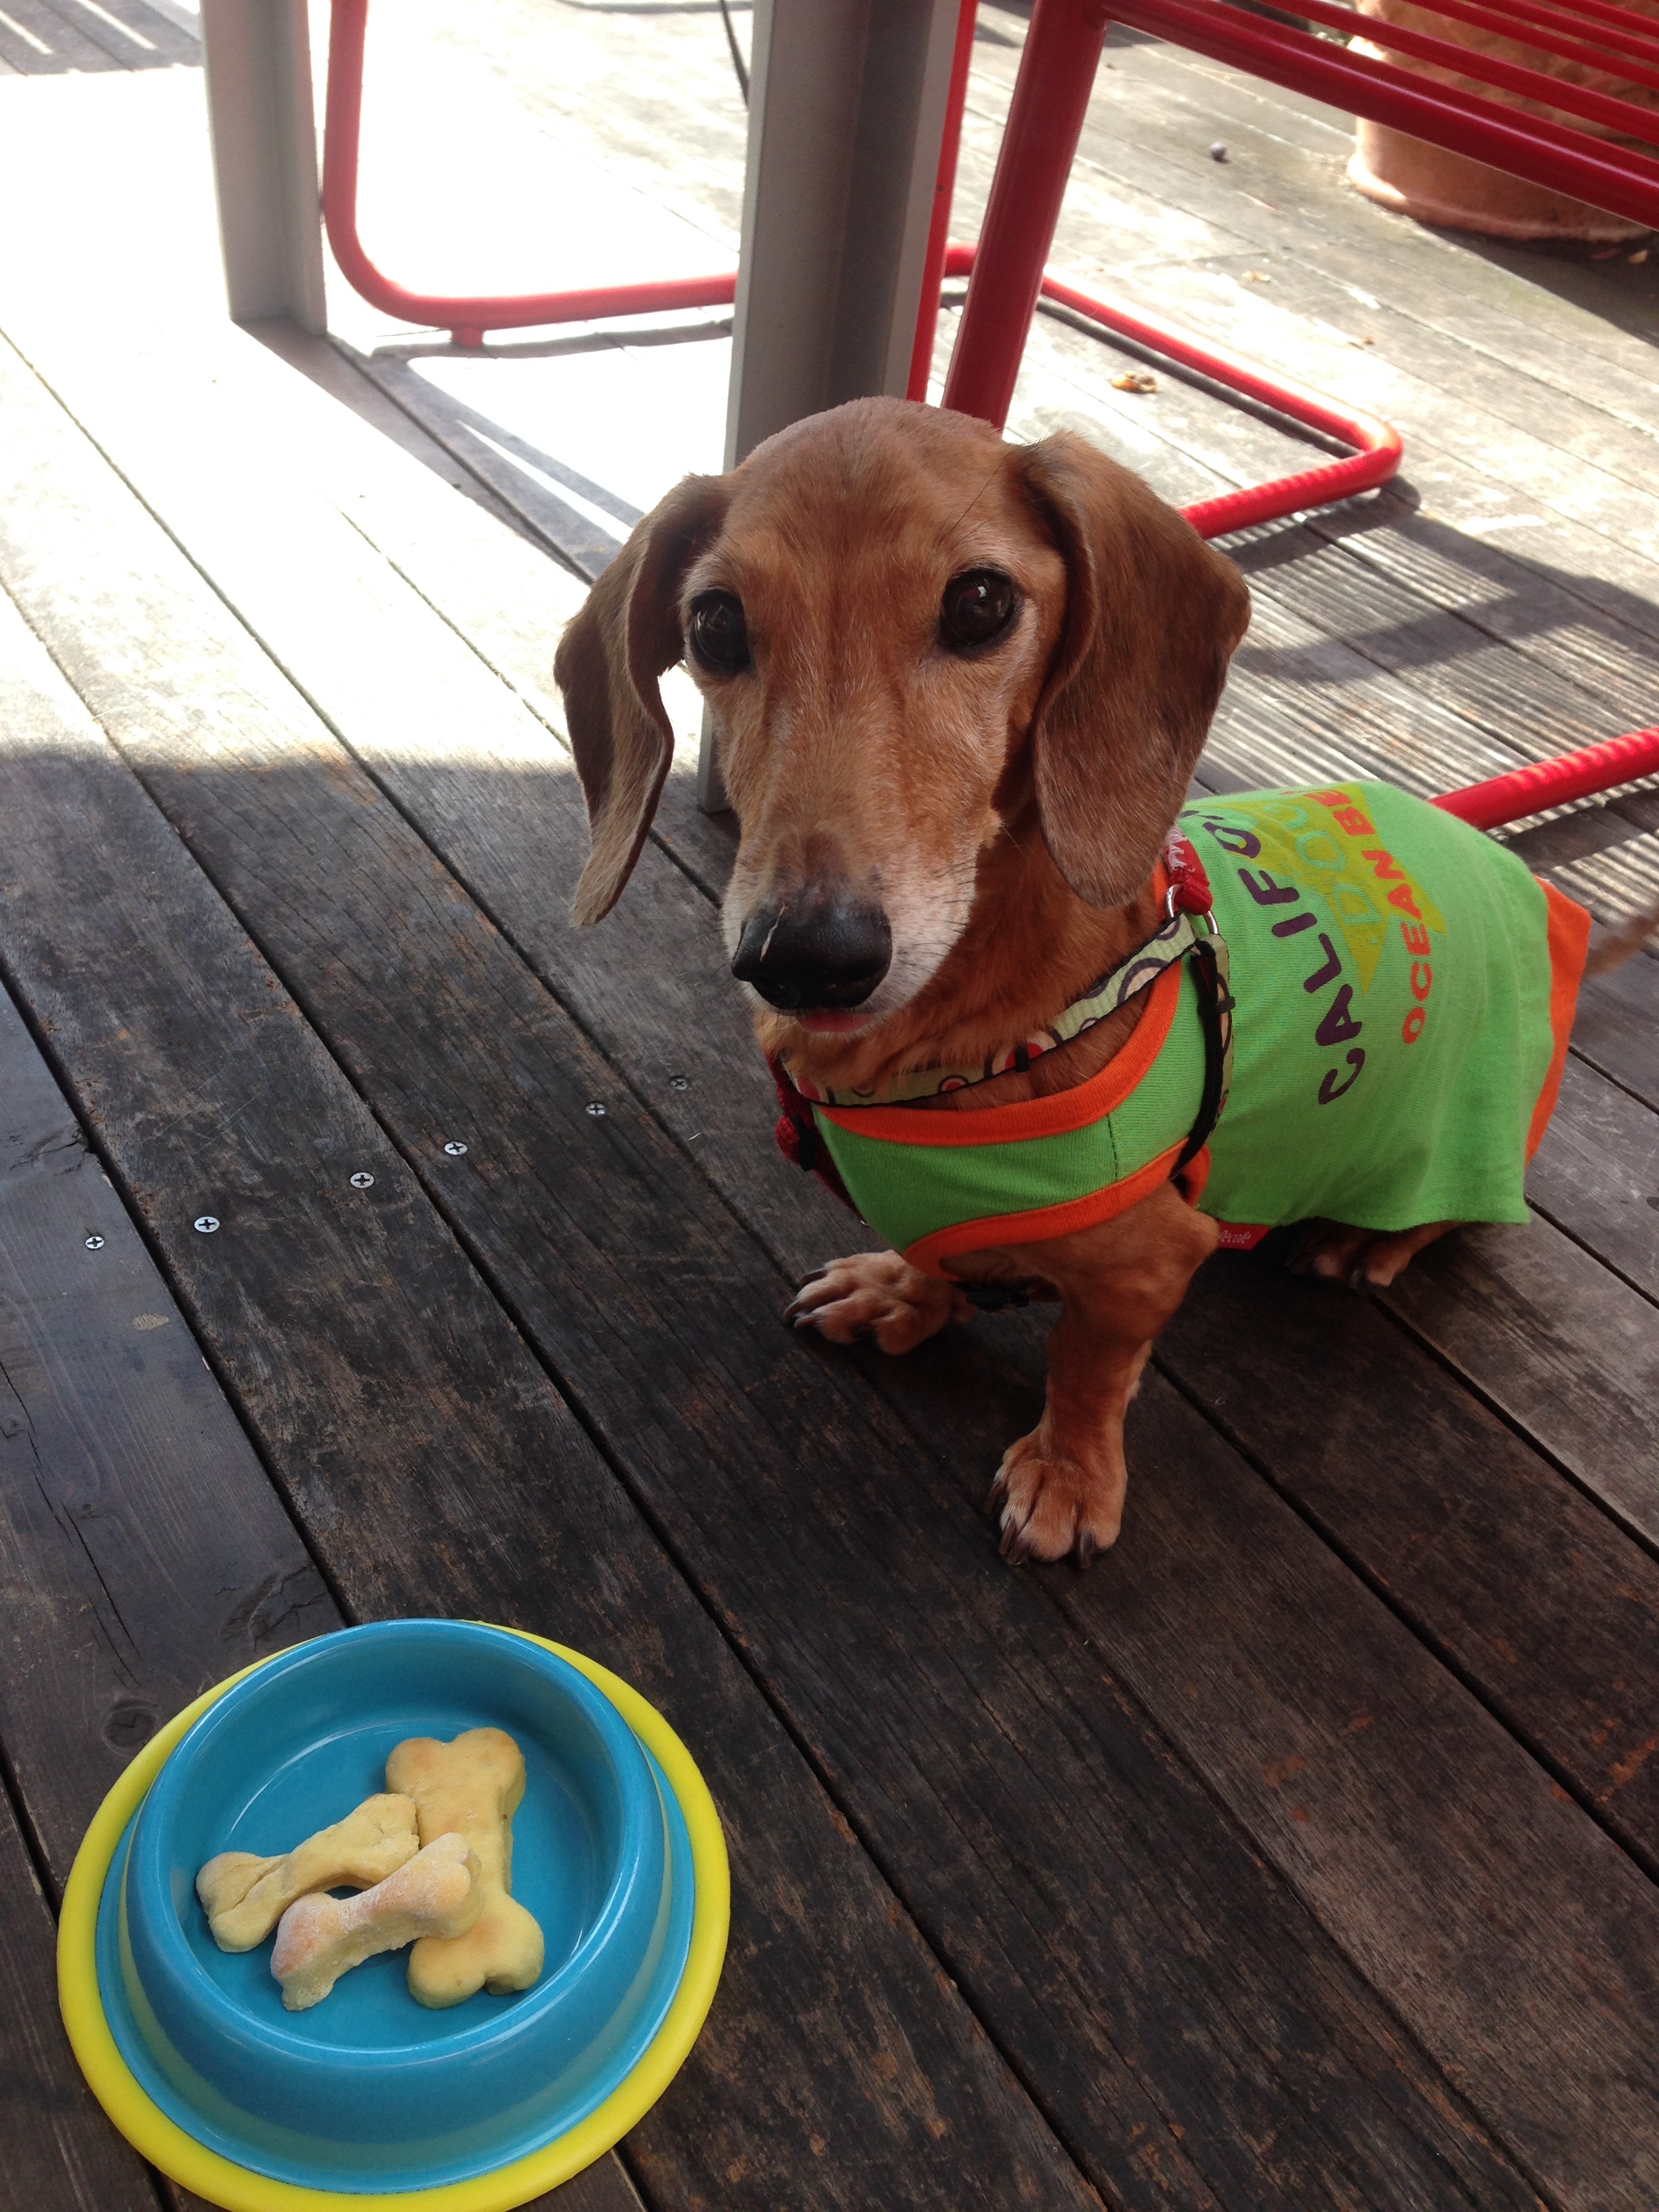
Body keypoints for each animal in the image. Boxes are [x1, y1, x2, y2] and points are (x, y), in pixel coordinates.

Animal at [555, 403, 1601, 1574]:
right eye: (716, 624)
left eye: (980, 602)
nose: (804, 958)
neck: (970, 1029)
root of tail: (1541, 905)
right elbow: (936, 1259)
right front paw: (903, 1294)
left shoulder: (1150, 1267)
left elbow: (1088, 1370)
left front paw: (1067, 1475)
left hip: (1464, 1144)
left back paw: (1362, 1240)